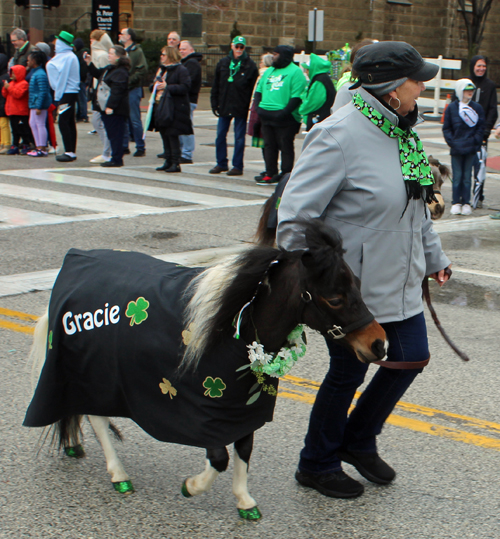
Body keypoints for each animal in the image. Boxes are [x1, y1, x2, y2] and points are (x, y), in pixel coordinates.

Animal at [25, 221, 388, 520]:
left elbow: (243, 450)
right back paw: (119, 475)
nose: (379, 344)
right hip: (93, 376)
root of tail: (71, 266)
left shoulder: (242, 408)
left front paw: (244, 500)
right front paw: (192, 486)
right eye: (335, 298)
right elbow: (219, 458)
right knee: (97, 417)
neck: (230, 329)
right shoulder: (200, 413)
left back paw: (76, 446)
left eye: (357, 284)